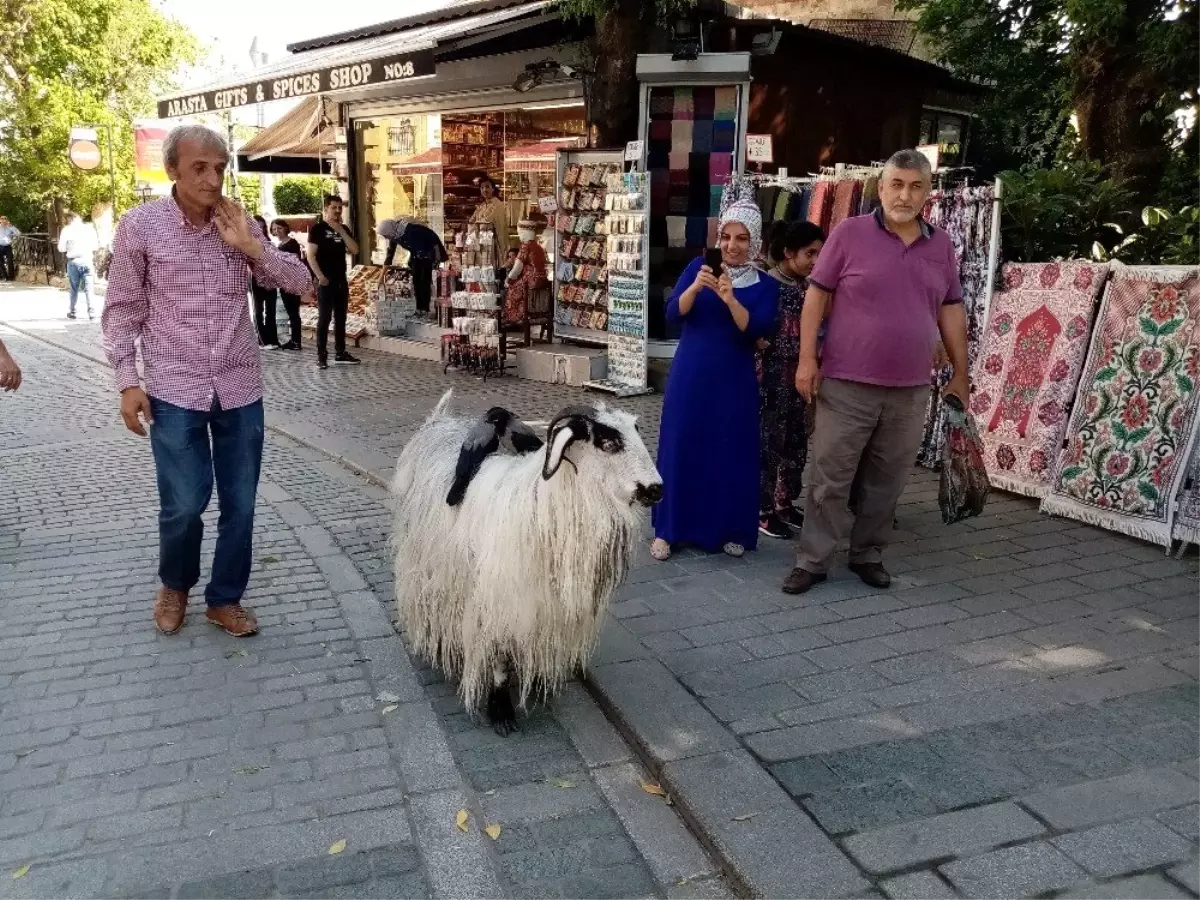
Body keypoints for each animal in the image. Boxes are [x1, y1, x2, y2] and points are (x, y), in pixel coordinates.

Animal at [391, 391, 657, 734]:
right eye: (608, 442)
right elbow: (500, 659)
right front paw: (501, 709)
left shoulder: (547, 608)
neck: (541, 504)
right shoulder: (497, 603)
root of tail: (438, 421)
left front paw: (542, 682)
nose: (656, 489)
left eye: (636, 431)